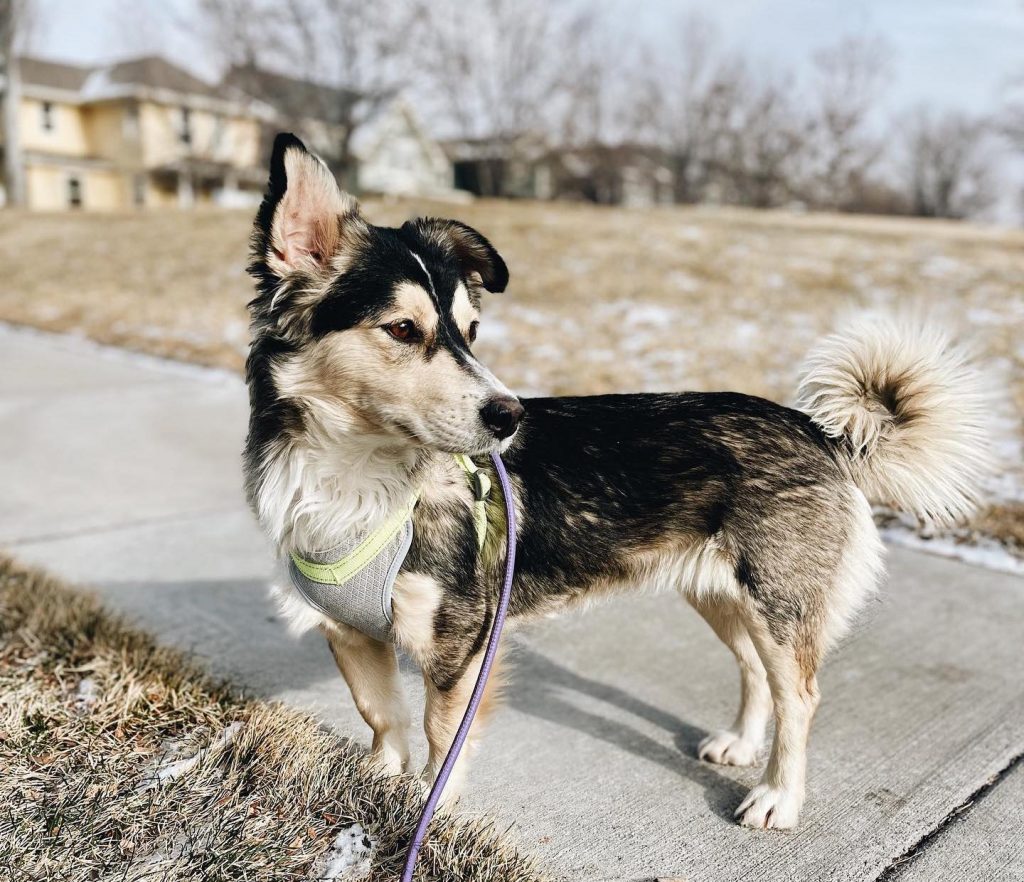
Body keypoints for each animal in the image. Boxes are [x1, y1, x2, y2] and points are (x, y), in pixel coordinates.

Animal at [241, 134, 991, 827]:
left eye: (471, 332)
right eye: (402, 329)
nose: (511, 416)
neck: (360, 475)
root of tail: (816, 430)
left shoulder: (461, 644)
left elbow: (439, 734)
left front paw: (431, 806)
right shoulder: (349, 632)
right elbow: (382, 716)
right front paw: (379, 782)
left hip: (779, 601)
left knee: (799, 696)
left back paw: (779, 795)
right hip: (721, 593)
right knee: (755, 670)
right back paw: (743, 745)